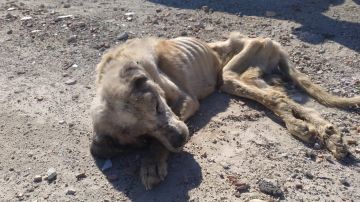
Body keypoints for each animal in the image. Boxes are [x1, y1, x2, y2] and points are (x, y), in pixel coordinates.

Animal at [90, 32, 360, 189]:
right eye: (142, 136)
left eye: (156, 106)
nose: (181, 140)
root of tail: (268, 40)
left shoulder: (186, 101)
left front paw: (152, 161)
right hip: (250, 77)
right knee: (281, 98)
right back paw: (329, 135)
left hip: (231, 74)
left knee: (273, 97)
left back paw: (306, 129)